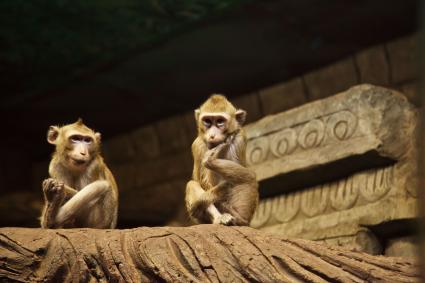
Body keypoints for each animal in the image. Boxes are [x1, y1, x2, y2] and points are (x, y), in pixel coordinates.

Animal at [183, 95, 256, 226]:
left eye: (220, 121)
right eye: (207, 121)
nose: (212, 135)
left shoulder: (239, 138)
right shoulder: (197, 145)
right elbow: (201, 181)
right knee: (192, 184)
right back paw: (219, 218)